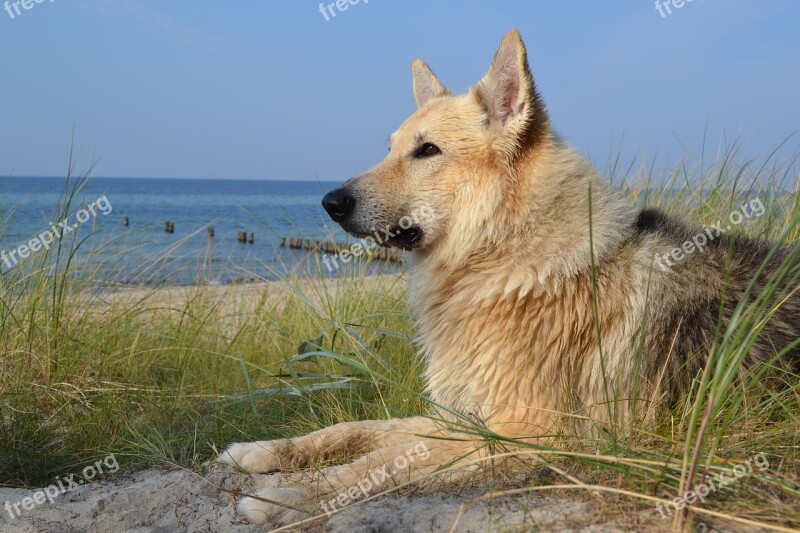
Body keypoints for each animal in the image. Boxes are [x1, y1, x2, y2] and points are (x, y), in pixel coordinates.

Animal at [219, 30, 800, 524]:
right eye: (390, 148)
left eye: (427, 151)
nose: (330, 203)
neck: (505, 254)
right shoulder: (460, 416)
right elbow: (359, 431)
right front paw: (268, 451)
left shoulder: (524, 430)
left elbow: (382, 462)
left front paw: (291, 498)